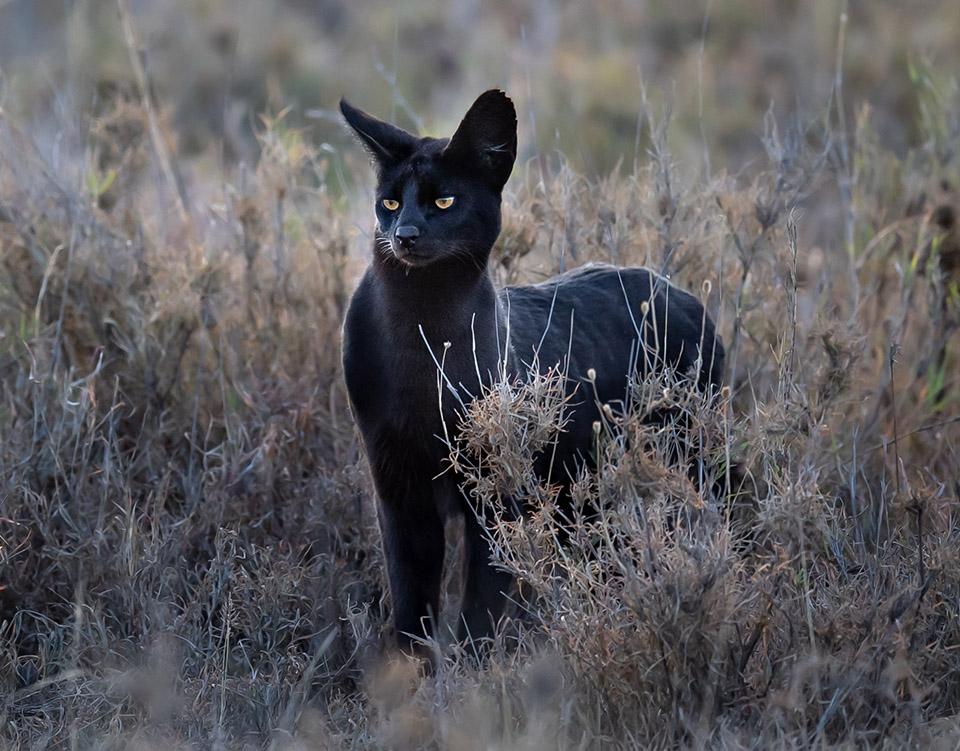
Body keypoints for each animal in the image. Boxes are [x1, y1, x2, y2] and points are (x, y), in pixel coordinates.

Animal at [342, 86, 724, 652]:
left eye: (444, 201)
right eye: (389, 202)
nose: (405, 232)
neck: (422, 330)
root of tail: (682, 294)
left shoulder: (496, 493)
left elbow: (481, 600)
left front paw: (474, 668)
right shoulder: (397, 485)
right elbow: (411, 600)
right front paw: (408, 670)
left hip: (684, 457)